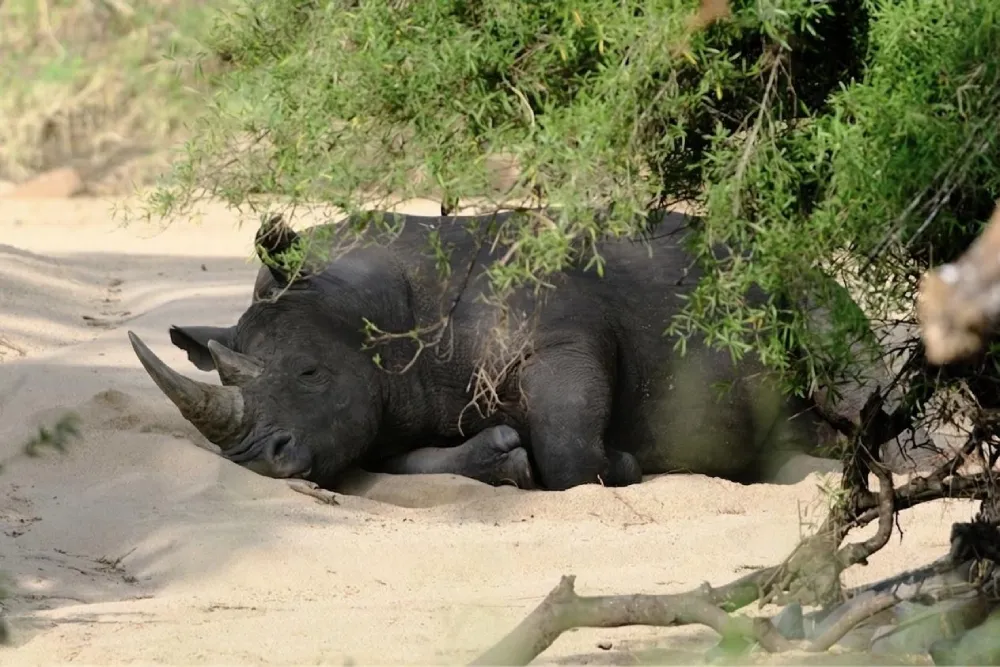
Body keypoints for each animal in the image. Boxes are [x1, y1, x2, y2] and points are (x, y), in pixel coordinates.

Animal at [127, 208, 827, 491]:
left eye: (308, 372)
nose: (253, 461)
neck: (362, 300)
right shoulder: (389, 405)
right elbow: (406, 463)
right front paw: (503, 460)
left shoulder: (565, 334)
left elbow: (570, 446)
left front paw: (626, 465)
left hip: (794, 278)